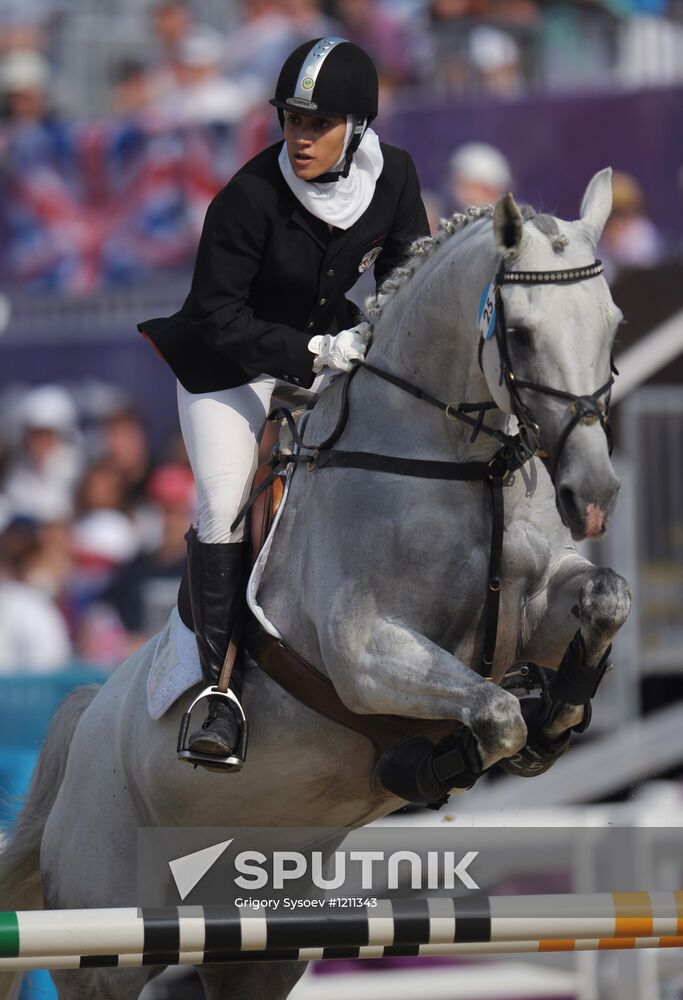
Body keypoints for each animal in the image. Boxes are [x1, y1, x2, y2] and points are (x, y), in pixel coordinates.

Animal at [0, 172, 632, 1000]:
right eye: (520, 335)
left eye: (613, 324)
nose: (592, 495)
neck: (458, 464)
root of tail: (85, 721)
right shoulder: (364, 652)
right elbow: (495, 716)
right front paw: (429, 759)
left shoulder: (535, 606)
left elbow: (605, 599)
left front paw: (558, 709)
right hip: (105, 942)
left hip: (262, 949)